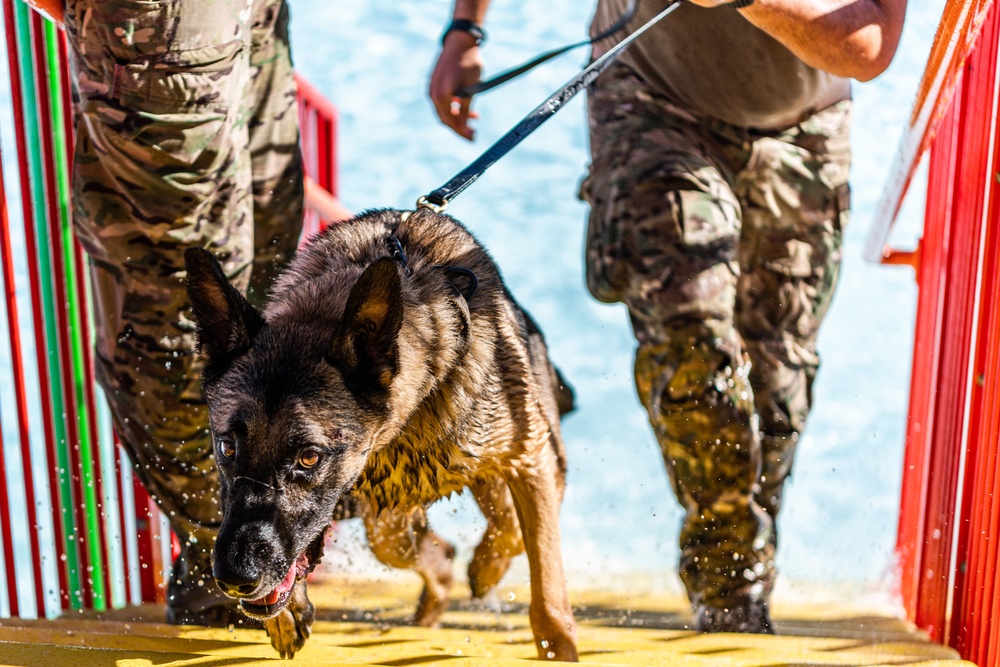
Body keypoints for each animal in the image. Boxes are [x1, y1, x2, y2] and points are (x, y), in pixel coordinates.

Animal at [184, 210, 580, 664]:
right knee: (414, 546)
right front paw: (287, 614)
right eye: (227, 447)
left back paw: (482, 567)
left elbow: (542, 573)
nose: (235, 577)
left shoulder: (532, 458)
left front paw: (557, 641)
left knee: (505, 523)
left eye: (309, 457)